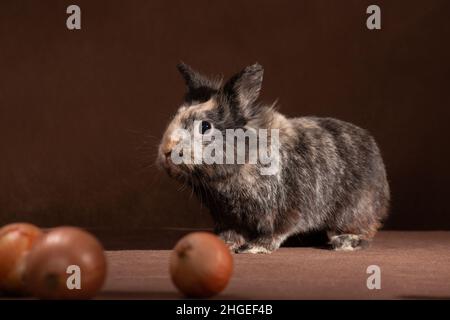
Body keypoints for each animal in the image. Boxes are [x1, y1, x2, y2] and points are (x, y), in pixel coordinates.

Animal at [156, 62, 388, 252]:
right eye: (175, 116)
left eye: (205, 126)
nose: (167, 151)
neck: (245, 161)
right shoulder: (228, 217)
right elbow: (232, 233)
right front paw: (224, 243)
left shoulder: (287, 210)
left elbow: (277, 231)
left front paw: (257, 247)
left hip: (354, 210)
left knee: (365, 231)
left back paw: (344, 241)